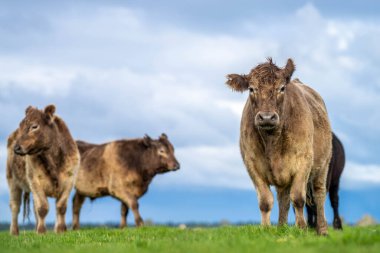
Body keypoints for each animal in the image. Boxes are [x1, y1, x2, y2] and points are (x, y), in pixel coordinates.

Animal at [6, 105, 79, 235]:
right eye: (21, 125)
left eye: (34, 126)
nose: (16, 148)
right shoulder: (35, 181)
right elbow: (42, 208)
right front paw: (41, 231)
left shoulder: (69, 181)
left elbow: (61, 207)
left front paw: (60, 229)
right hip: (12, 181)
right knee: (15, 206)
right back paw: (14, 232)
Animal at [226, 57, 332, 235]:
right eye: (251, 89)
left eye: (282, 88)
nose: (267, 117)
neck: (272, 142)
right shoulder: (252, 164)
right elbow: (265, 201)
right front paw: (266, 229)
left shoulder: (304, 161)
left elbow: (298, 197)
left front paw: (301, 228)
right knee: (283, 199)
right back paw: (281, 227)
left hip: (323, 165)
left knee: (319, 194)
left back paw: (322, 230)